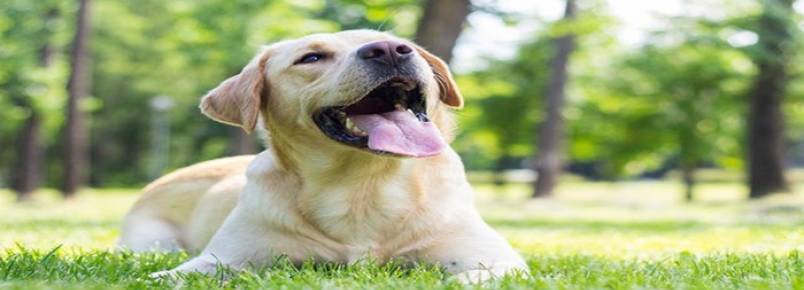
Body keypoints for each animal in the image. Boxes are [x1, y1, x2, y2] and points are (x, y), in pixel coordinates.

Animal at [119, 29, 528, 284]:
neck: (361, 187)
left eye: (398, 43)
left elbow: (475, 275)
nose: (389, 50)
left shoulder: (497, 258)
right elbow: (172, 275)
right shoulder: (222, 259)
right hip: (151, 242)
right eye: (311, 57)